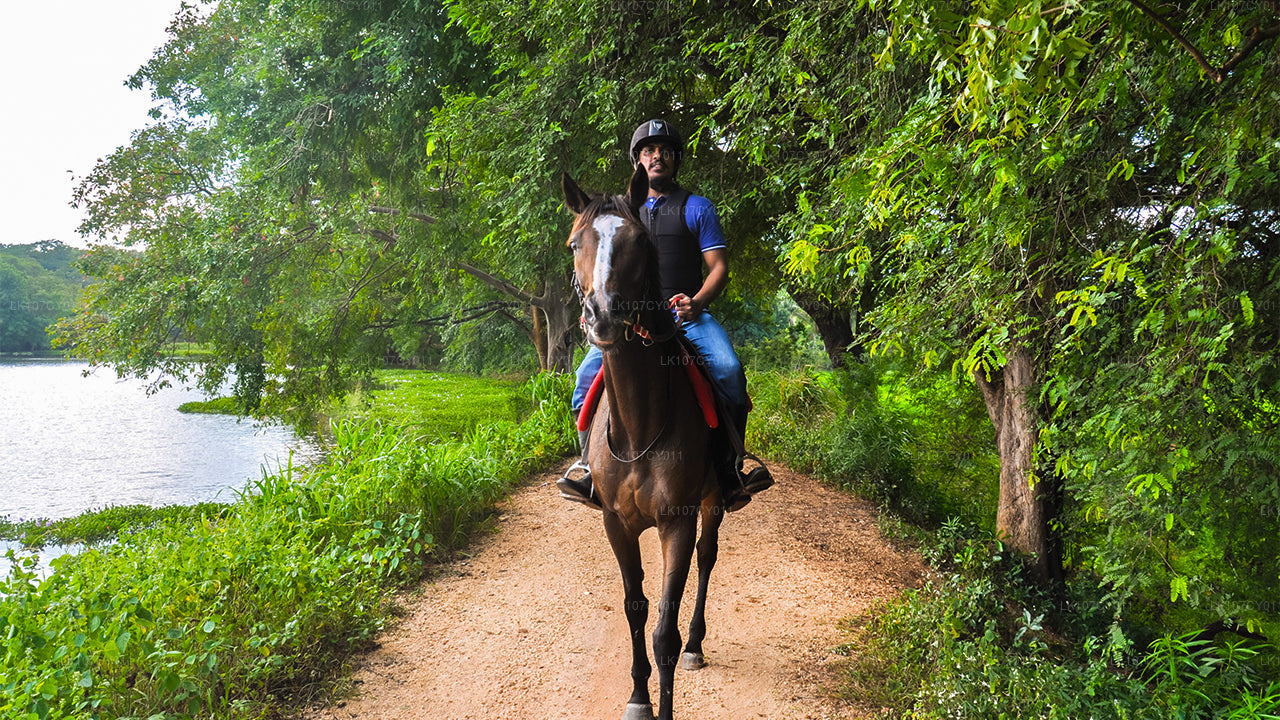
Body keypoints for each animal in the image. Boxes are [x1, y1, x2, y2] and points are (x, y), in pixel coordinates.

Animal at [563, 162, 727, 717]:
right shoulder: (617, 523)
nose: (603, 315)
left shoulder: (674, 522)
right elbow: (635, 609)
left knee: (706, 558)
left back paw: (698, 643)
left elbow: (664, 635)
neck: (638, 428)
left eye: (638, 240)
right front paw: (638, 696)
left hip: (713, 502)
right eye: (575, 243)